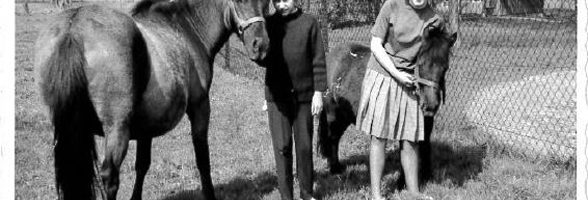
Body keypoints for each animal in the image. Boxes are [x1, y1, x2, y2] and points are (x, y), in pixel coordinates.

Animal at [34, 0, 268, 199]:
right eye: (240, 1)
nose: (261, 46)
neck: (186, 29)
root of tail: (74, 27)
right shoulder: (200, 107)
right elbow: (202, 159)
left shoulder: (146, 127)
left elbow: (142, 165)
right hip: (116, 130)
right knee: (110, 176)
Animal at [320, 25, 458, 180]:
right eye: (421, 64)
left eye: (445, 67)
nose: (430, 105)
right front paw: (402, 180)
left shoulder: (427, 123)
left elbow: (425, 145)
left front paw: (426, 175)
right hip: (333, 114)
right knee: (332, 138)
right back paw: (335, 169)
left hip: (345, 115)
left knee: (336, 137)